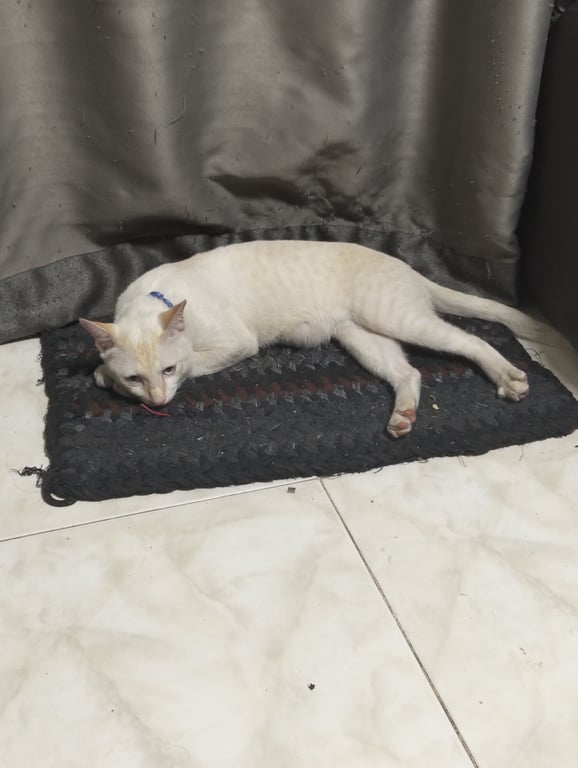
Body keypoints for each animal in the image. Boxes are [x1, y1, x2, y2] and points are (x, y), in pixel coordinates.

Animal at [80, 240, 543, 438]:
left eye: (168, 370)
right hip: (361, 336)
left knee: (472, 341)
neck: (157, 298)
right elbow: (101, 370)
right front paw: (105, 375)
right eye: (136, 378)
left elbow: (197, 361)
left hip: (397, 319)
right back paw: (403, 417)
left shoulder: (237, 344)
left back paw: (510, 378)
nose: (157, 402)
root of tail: (409, 267)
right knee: (407, 372)